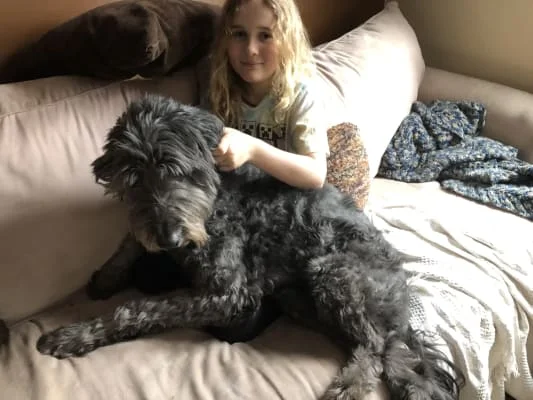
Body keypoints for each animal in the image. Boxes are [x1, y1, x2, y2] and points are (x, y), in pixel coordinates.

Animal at [36, 95, 463, 400]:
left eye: (177, 171)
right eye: (133, 178)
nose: (171, 239)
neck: (213, 200)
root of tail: (402, 302)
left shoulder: (228, 294)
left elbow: (140, 309)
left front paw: (76, 335)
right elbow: (130, 238)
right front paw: (107, 276)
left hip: (335, 273)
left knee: (374, 347)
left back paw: (348, 387)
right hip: (303, 299)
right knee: (381, 348)